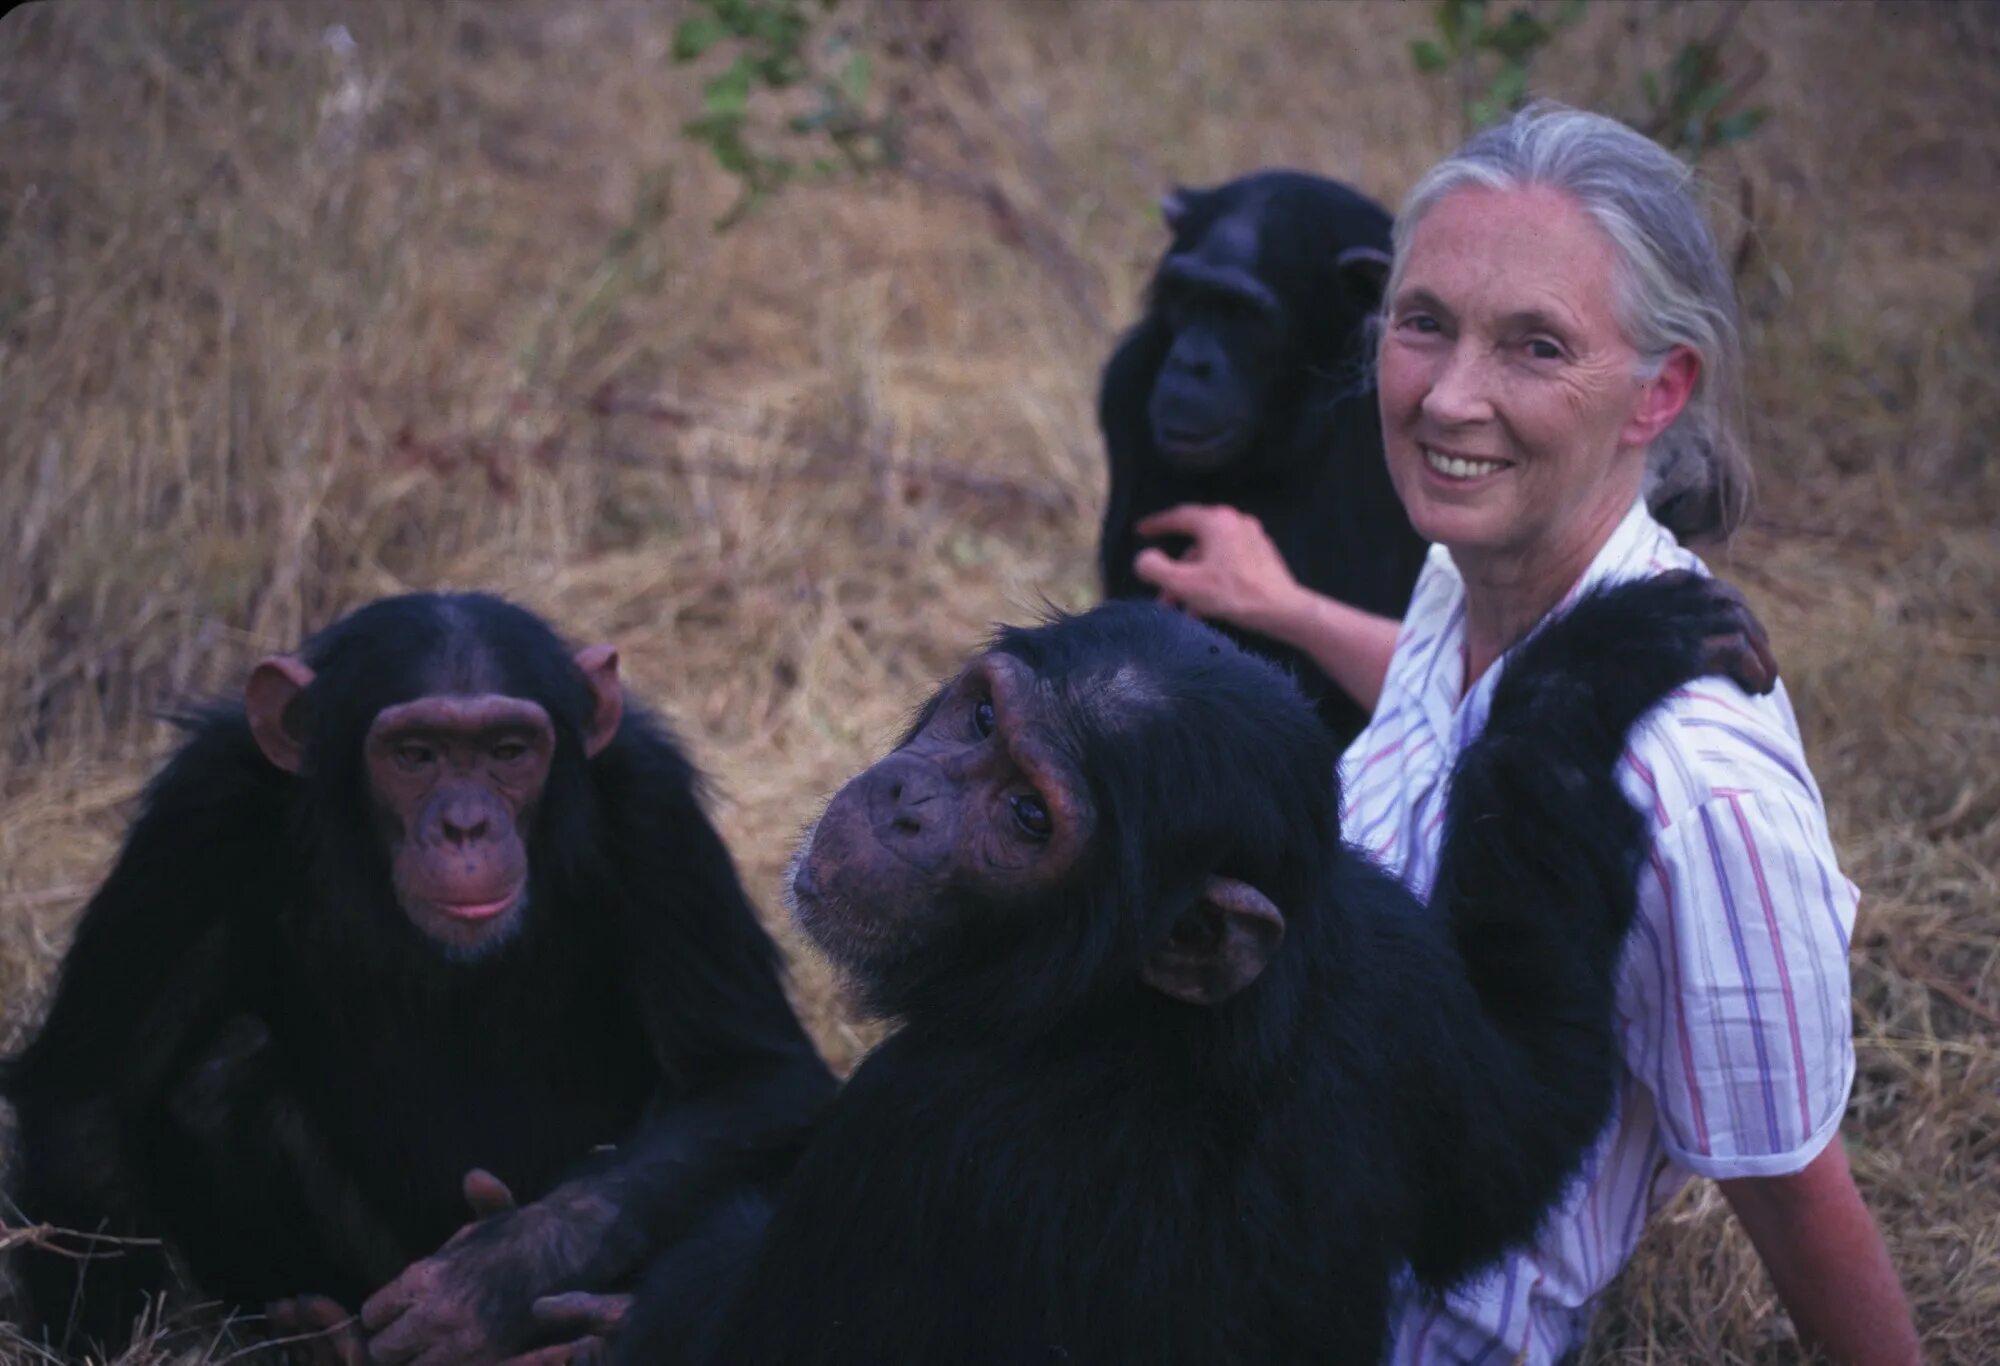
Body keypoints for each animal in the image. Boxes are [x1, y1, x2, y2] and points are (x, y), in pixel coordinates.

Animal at [0, 600, 828, 1366]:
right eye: (415, 754)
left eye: (508, 750)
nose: (465, 826)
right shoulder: (198, 810)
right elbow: (89, 1096)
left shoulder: (655, 807)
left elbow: (752, 1078)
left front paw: (495, 1275)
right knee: (219, 1073)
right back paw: (326, 1337)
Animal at [600, 576, 1776, 1366]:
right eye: (979, 717)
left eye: (1027, 816)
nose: (905, 804)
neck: (1126, 1022)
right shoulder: (1392, 979)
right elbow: (1523, 1119)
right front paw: (1590, 670)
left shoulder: (913, 1141)